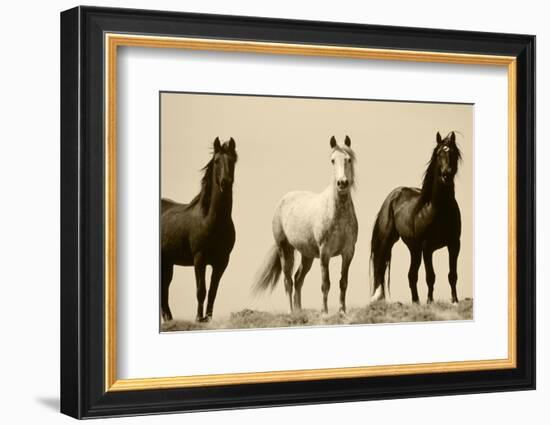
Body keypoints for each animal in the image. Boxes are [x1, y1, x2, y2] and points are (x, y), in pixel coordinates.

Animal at [160, 137, 237, 320]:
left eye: (232, 161)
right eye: (216, 161)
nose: (225, 182)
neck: (211, 221)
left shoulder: (221, 262)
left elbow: (213, 292)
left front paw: (207, 319)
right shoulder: (199, 259)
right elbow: (201, 290)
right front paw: (198, 318)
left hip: (167, 263)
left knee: (164, 290)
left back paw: (169, 319)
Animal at [374, 131, 464, 304]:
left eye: (454, 153)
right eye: (438, 153)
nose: (446, 175)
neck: (438, 209)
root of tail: (392, 196)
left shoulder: (454, 244)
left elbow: (453, 275)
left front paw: (455, 301)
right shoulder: (427, 247)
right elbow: (430, 276)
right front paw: (430, 301)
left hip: (414, 249)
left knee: (411, 275)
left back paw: (416, 302)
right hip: (389, 242)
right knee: (381, 269)